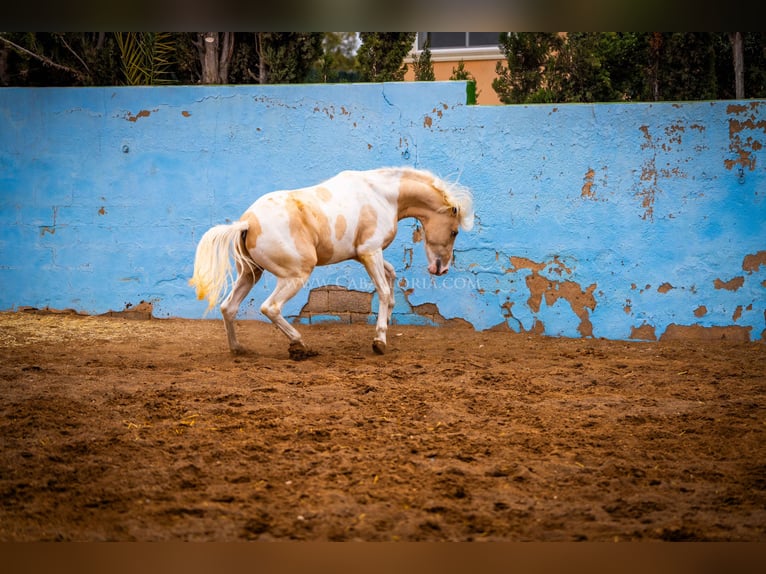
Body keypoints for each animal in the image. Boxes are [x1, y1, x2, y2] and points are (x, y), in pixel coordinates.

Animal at [190, 166, 474, 362]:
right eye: (454, 232)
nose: (441, 269)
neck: (382, 196)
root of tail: (247, 223)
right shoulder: (370, 252)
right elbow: (383, 291)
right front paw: (379, 341)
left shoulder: (367, 254)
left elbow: (391, 278)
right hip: (296, 274)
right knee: (269, 307)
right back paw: (299, 344)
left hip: (251, 274)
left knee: (228, 307)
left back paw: (238, 349)